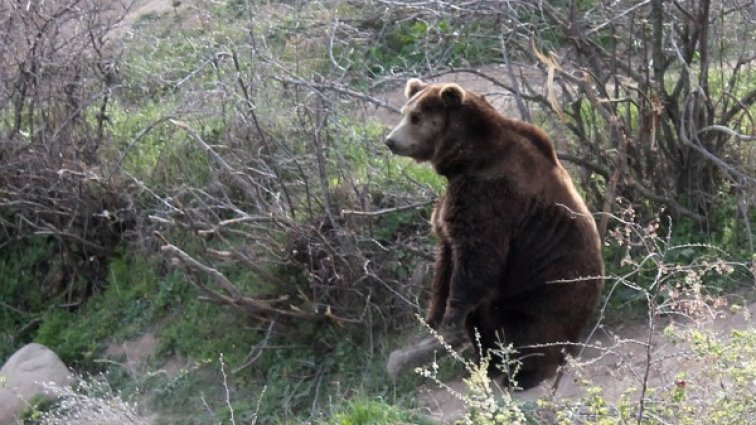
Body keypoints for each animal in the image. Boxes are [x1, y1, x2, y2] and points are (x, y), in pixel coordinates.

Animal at [386, 78, 604, 390]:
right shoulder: (455, 203)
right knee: (483, 325)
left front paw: (450, 316)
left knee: (532, 333)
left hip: (545, 293)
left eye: (415, 117)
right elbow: (446, 258)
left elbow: (478, 257)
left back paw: (524, 374)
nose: (390, 141)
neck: (467, 158)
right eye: (405, 112)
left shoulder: (490, 197)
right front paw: (434, 315)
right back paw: (487, 366)